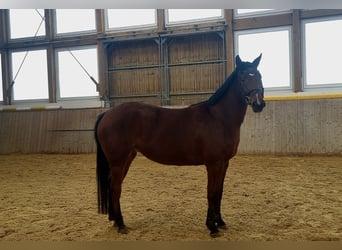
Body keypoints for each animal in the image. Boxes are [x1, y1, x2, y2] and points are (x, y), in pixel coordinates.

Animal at [95, 54, 266, 236]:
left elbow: (219, 193)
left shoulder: (224, 163)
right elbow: (211, 193)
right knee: (115, 187)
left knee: (113, 185)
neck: (218, 118)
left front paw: (220, 222)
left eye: (259, 76)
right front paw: (211, 227)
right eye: (242, 78)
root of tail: (107, 114)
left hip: (126, 158)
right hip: (118, 161)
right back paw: (121, 225)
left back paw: (114, 220)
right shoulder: (214, 164)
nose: (258, 104)